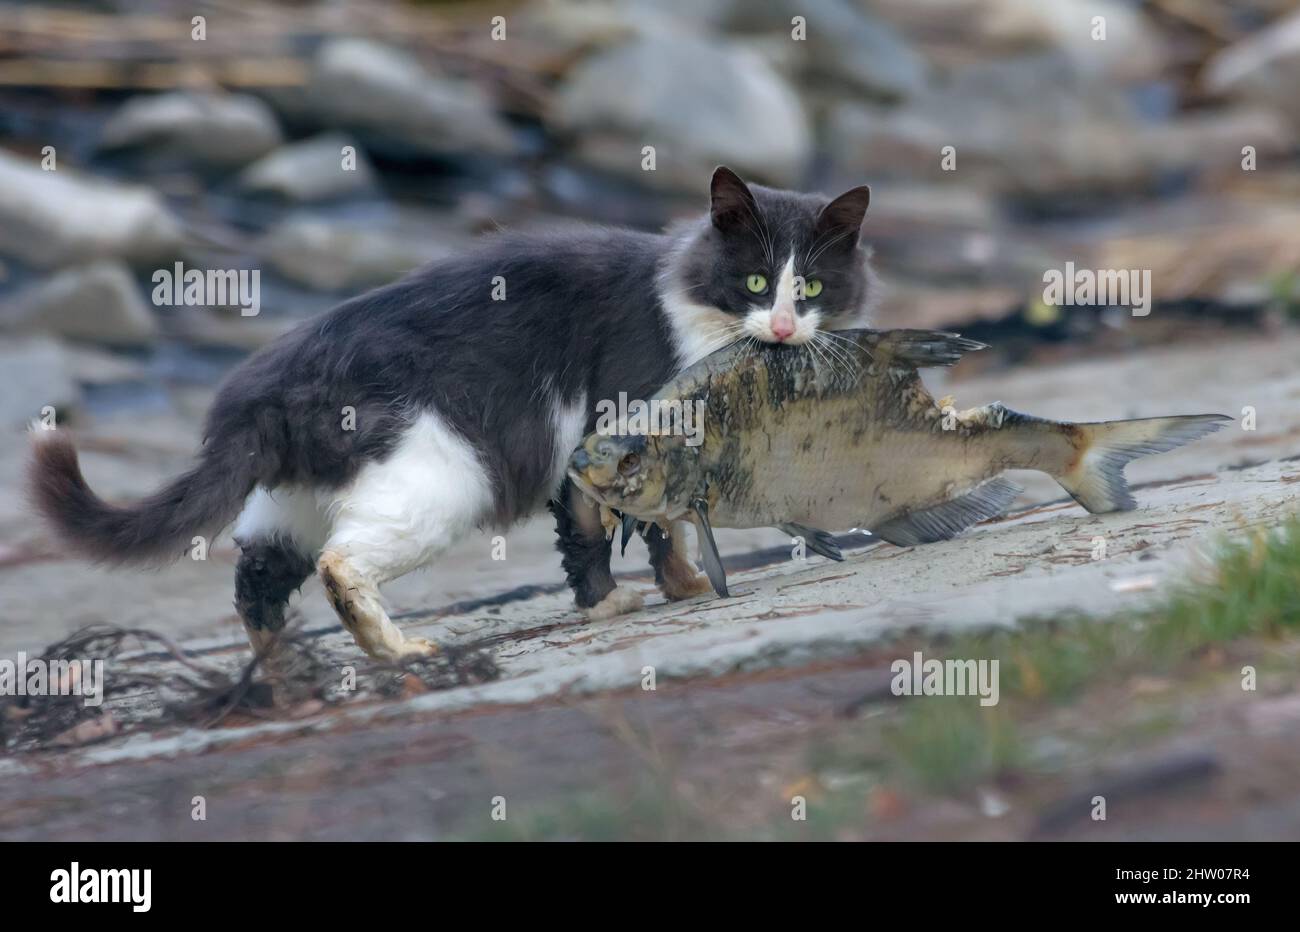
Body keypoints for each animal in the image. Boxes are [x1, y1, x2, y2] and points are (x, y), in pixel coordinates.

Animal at [30, 167, 878, 662]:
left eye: (811, 289)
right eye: (757, 280)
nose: (782, 327)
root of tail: (263, 387)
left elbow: (634, 525)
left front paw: (652, 594)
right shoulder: (611, 423)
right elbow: (627, 529)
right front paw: (643, 596)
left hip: (296, 501)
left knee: (257, 576)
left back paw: (282, 671)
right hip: (443, 474)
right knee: (341, 564)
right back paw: (399, 650)